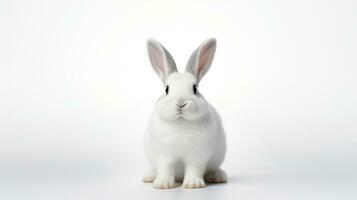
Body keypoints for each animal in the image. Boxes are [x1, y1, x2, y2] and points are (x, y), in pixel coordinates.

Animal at [142, 38, 225, 189]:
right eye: (167, 89)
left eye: (195, 88)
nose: (181, 103)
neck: (181, 121)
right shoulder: (164, 156)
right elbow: (165, 169)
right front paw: (162, 184)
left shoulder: (197, 157)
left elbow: (194, 169)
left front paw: (193, 184)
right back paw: (149, 176)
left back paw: (218, 176)